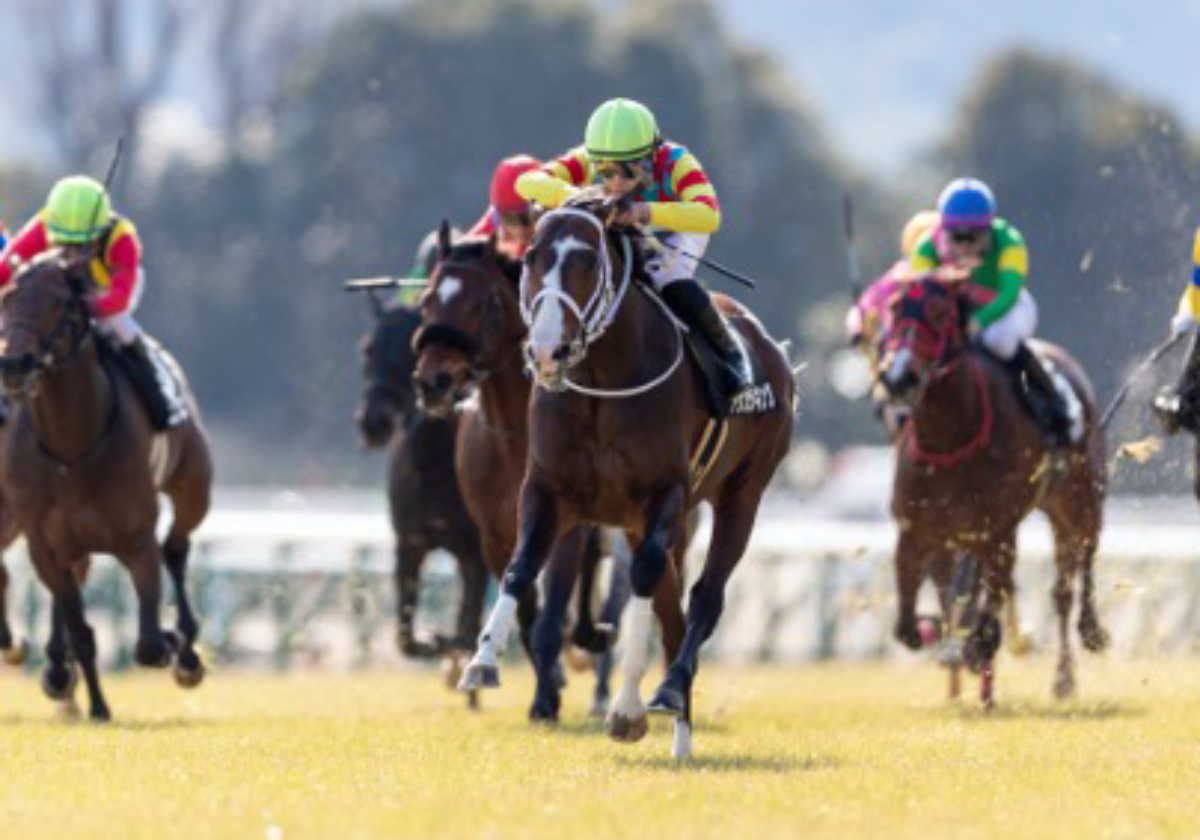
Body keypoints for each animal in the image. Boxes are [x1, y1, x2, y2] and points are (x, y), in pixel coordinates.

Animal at [0, 253, 212, 720]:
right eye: (8, 296)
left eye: (59, 302)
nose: (14, 365)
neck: (71, 446)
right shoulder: (44, 543)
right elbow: (81, 630)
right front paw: (96, 706)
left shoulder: (136, 538)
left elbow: (149, 642)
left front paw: (171, 642)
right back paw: (59, 675)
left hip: (194, 488)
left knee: (176, 547)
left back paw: (187, 653)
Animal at [352, 295, 489, 667]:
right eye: (367, 348)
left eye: (408, 346)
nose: (374, 422)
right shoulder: (409, 544)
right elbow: (405, 638)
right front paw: (429, 642)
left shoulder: (477, 551)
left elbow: (467, 629)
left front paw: (447, 642)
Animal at [417, 229, 648, 720]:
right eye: (427, 299)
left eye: (482, 303)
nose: (433, 382)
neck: (515, 433)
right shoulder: (495, 535)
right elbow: (526, 608)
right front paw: (544, 681)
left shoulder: (566, 527)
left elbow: (551, 615)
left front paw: (545, 700)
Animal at [458, 198, 796, 763]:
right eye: (530, 257)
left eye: (589, 261)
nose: (546, 350)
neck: (601, 383)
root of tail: (773, 349)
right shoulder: (547, 492)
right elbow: (520, 569)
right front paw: (482, 661)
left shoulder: (666, 495)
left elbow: (643, 586)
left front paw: (627, 709)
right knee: (672, 609)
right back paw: (681, 732)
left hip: (741, 495)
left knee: (703, 598)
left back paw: (670, 691)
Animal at [878, 278, 1108, 705]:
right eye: (896, 307)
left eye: (939, 312)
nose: (898, 374)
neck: (951, 440)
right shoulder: (918, 527)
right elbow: (911, 615)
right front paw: (941, 637)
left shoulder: (999, 529)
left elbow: (992, 597)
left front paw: (978, 646)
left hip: (1081, 501)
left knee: (1077, 572)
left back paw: (1081, 648)